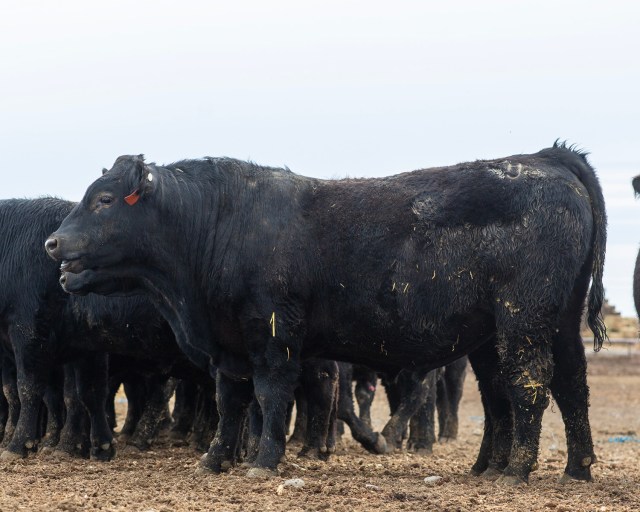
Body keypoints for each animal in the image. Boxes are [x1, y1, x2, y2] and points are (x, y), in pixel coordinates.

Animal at [46, 142, 607, 484]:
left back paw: (515, 470)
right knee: (565, 387)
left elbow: (271, 397)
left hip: (522, 322)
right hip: (549, 325)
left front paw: (263, 461)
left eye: (104, 199)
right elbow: (231, 404)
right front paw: (215, 459)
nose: (53, 243)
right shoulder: (230, 349)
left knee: (530, 386)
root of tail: (546, 158)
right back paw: (568, 468)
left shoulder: (274, 336)